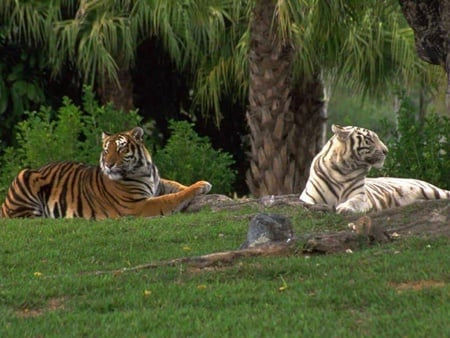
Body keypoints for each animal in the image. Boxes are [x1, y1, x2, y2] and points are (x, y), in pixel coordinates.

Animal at [0, 127, 212, 219]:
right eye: (106, 150)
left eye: (120, 148)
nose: (109, 164)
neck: (144, 170)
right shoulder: (137, 205)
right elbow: (173, 198)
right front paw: (202, 186)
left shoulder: (158, 184)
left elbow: (177, 185)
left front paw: (202, 184)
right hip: (25, 176)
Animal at [298, 124, 450, 214]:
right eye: (369, 139)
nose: (386, 151)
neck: (344, 170)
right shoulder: (309, 197)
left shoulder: (361, 197)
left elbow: (353, 201)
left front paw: (345, 207)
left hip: (433, 191)